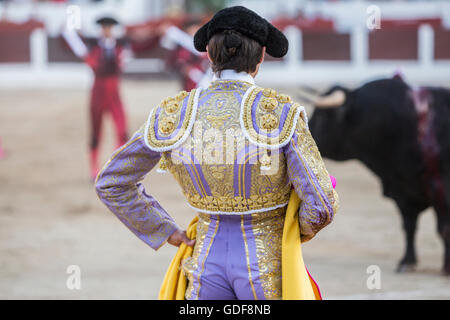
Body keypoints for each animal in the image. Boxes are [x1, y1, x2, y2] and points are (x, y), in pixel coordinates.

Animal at [302, 77, 450, 276]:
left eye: (323, 116)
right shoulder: (402, 190)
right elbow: (409, 226)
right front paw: (406, 261)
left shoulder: (439, 186)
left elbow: (443, 228)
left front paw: (446, 267)